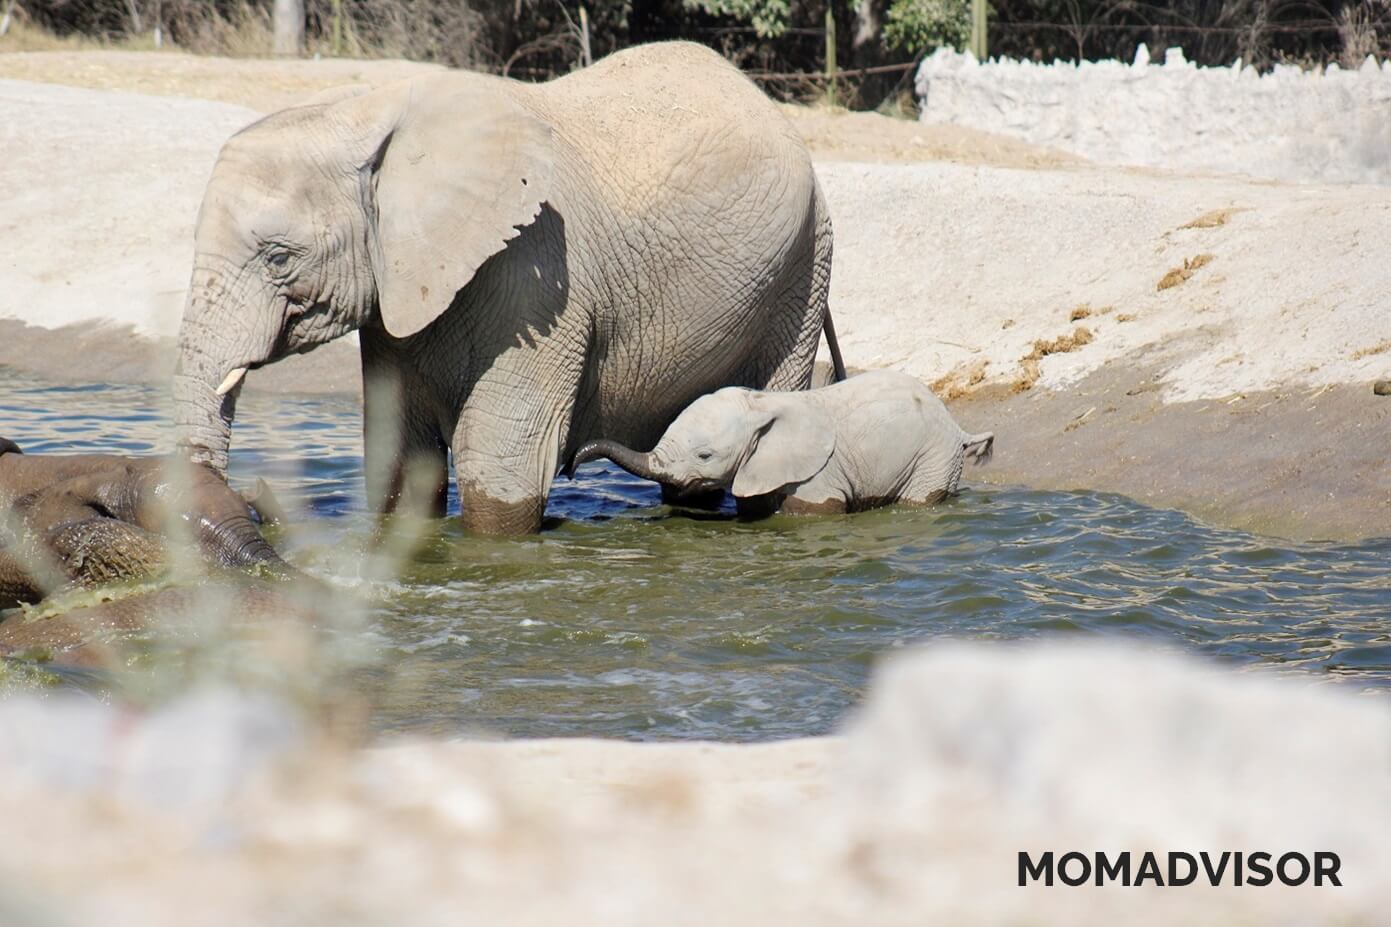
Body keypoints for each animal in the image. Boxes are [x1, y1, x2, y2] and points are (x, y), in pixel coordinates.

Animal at [171, 41, 844, 536]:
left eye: (279, 257)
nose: (255, 499)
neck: (373, 114)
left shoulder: (540, 275)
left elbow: (500, 467)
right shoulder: (398, 292)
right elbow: (399, 462)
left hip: (804, 268)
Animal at [568, 370, 995, 514]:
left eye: (704, 455)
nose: (570, 467)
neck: (762, 404)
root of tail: (958, 428)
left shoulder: (819, 475)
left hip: (933, 457)